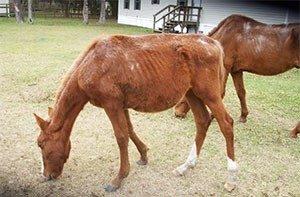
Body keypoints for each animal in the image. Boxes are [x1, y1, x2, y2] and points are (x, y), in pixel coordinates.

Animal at [34, 34, 238, 192]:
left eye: (41, 144)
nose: (47, 175)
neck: (92, 64)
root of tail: (214, 43)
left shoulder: (111, 104)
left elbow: (121, 137)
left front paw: (119, 178)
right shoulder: (121, 105)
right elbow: (130, 131)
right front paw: (143, 155)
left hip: (209, 94)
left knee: (226, 124)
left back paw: (231, 178)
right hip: (192, 93)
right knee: (202, 121)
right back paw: (185, 166)